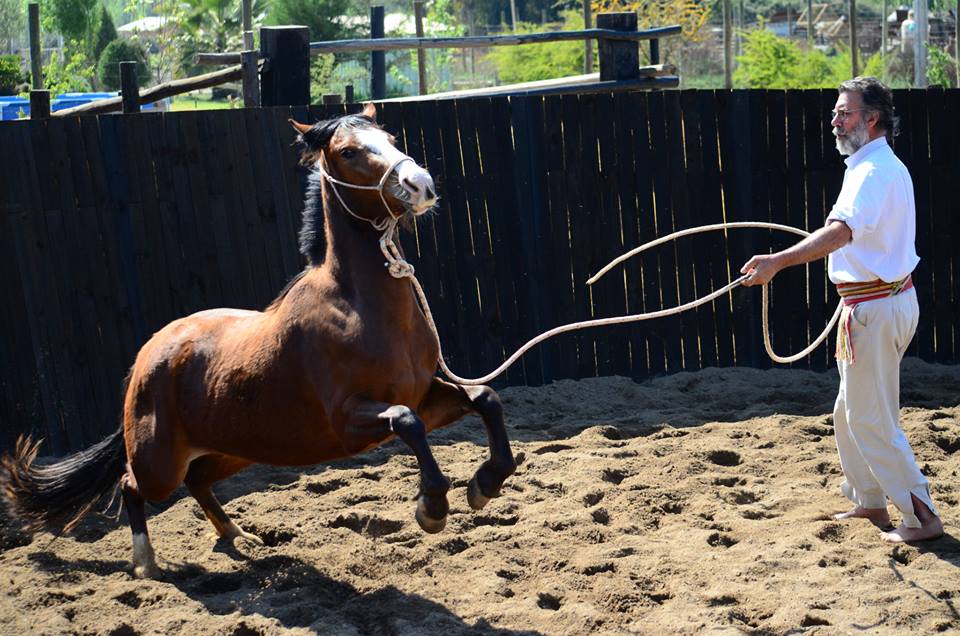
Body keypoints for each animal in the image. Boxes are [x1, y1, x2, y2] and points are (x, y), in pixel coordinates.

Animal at [1, 102, 516, 580]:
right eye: (348, 151)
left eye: (389, 138)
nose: (419, 184)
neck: (359, 307)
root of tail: (149, 356)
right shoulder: (350, 419)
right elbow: (408, 423)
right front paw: (432, 508)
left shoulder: (426, 394)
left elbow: (484, 397)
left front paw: (485, 483)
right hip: (159, 461)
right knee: (133, 486)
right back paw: (146, 564)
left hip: (235, 447)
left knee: (199, 480)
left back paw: (237, 535)